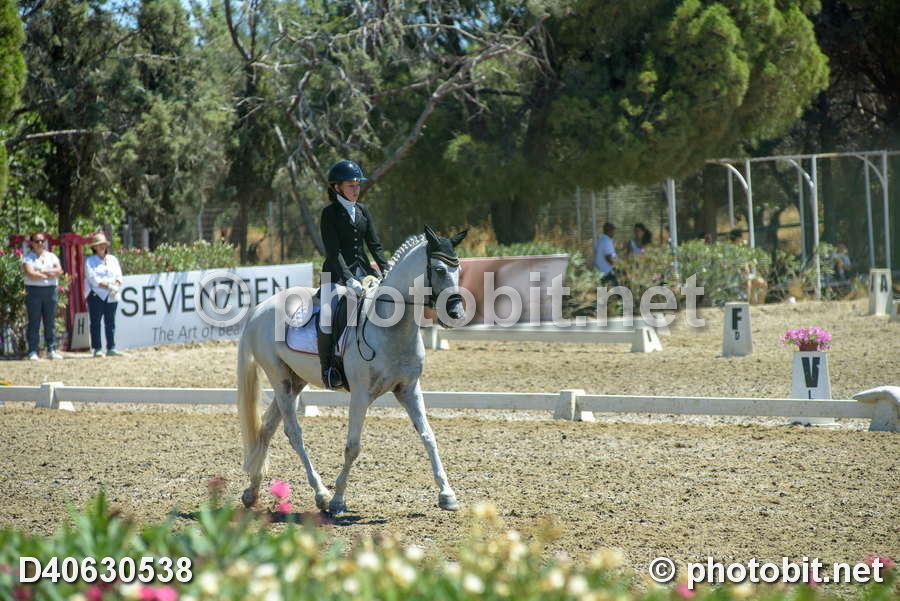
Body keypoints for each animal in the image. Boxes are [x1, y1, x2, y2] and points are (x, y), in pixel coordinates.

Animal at [237, 226, 468, 515]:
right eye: (438, 269)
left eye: (458, 270)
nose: (456, 312)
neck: (391, 329)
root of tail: (259, 309)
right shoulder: (360, 395)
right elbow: (353, 447)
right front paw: (338, 500)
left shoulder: (409, 389)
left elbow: (428, 436)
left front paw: (447, 495)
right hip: (280, 379)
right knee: (293, 433)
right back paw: (321, 494)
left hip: (295, 380)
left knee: (267, 427)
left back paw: (252, 491)